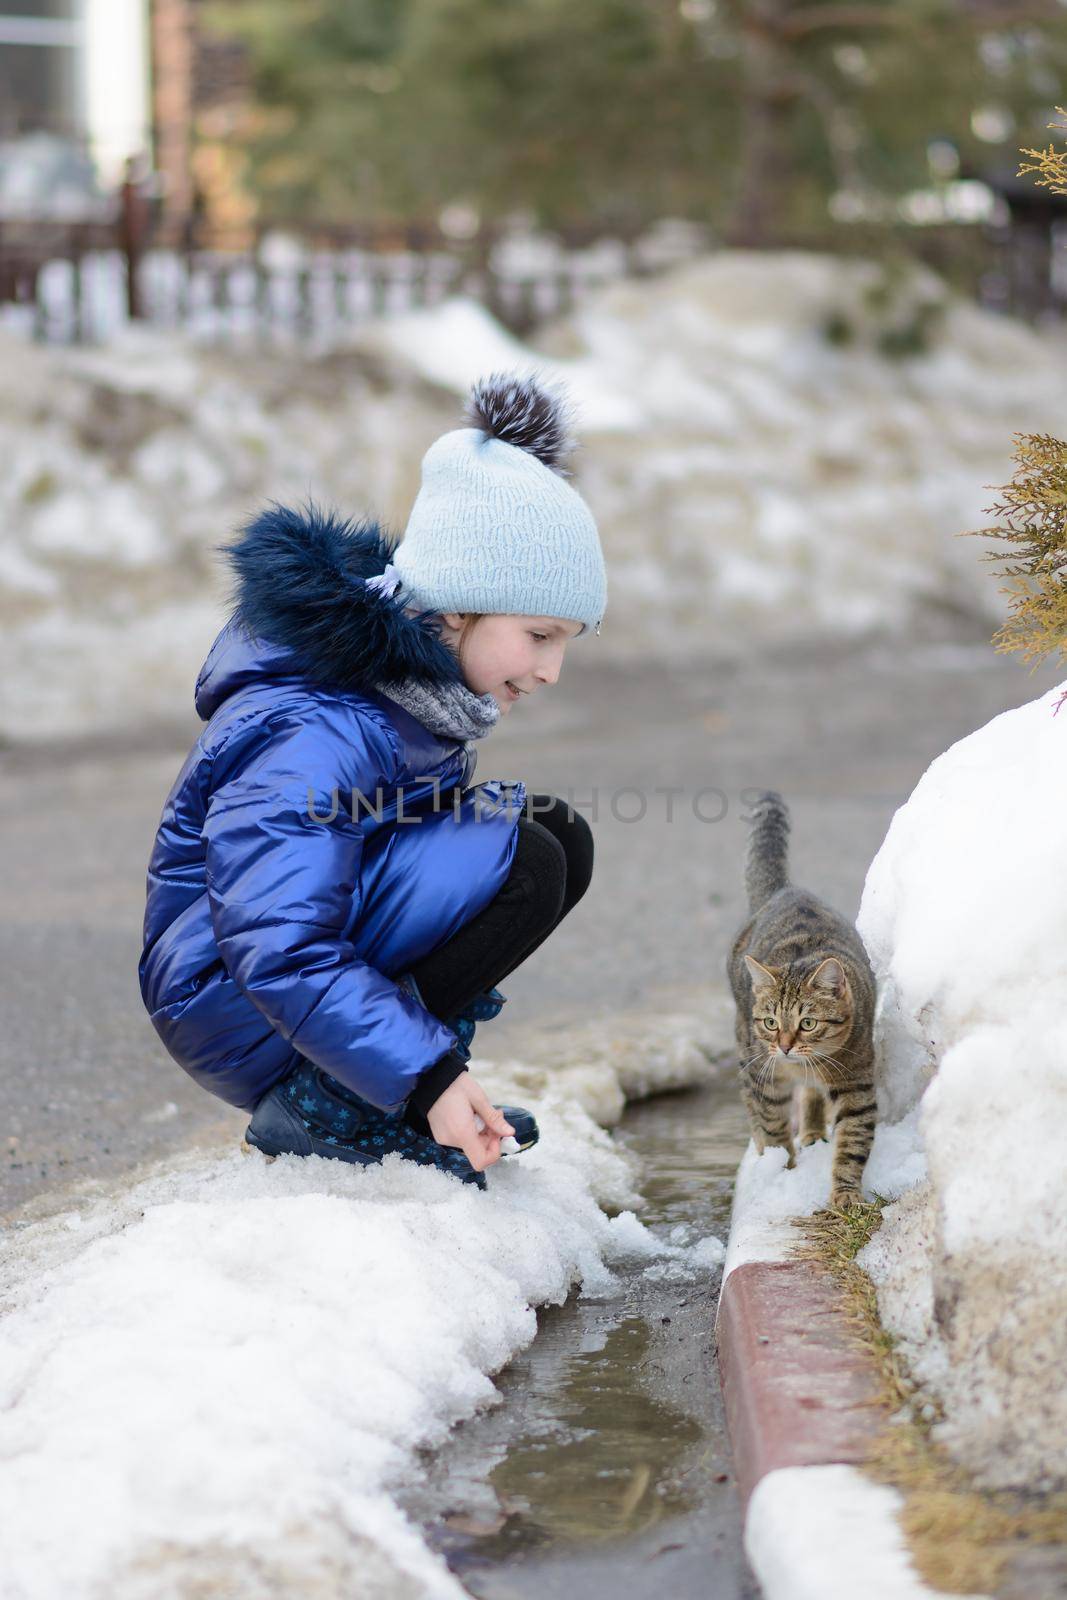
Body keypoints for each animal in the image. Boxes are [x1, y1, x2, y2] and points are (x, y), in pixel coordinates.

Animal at [729, 787, 883, 1209]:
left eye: (808, 1023)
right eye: (770, 1022)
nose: (783, 1046)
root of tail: (784, 888)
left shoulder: (858, 1084)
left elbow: (853, 1142)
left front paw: (845, 1194)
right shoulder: (765, 1074)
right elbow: (773, 1125)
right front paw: (782, 1172)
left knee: (811, 1097)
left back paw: (813, 1131)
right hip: (747, 1050)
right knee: (751, 1101)